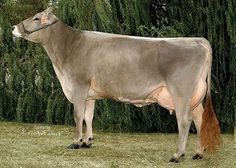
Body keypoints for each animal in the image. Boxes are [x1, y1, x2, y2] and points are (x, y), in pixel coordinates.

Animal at [11, 8, 221, 163]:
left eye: (36, 18)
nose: (13, 27)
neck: (68, 48)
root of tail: (197, 40)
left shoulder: (78, 87)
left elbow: (78, 116)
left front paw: (75, 142)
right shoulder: (89, 93)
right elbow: (88, 116)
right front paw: (87, 141)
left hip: (181, 92)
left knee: (184, 121)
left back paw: (178, 155)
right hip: (194, 96)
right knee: (199, 119)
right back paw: (198, 153)